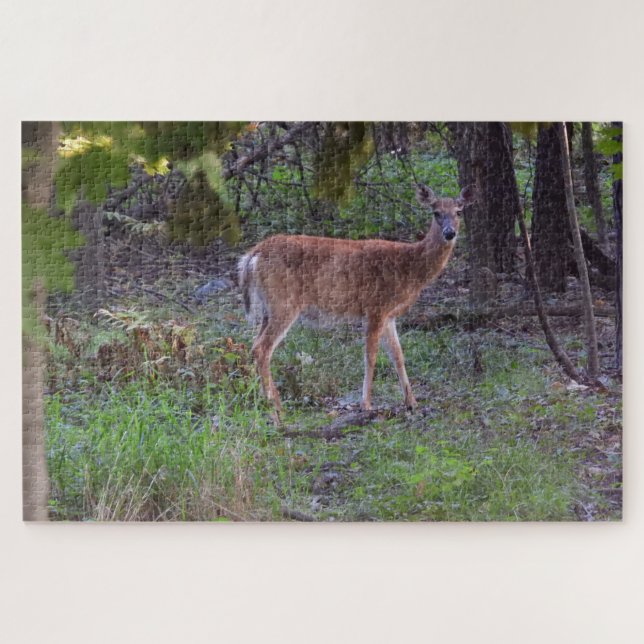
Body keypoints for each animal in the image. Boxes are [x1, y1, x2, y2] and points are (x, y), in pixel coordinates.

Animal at [238, 184, 476, 423]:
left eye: (459, 212)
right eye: (436, 213)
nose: (449, 233)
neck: (409, 268)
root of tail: (252, 255)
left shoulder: (390, 315)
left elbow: (398, 356)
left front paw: (412, 403)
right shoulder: (376, 307)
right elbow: (370, 357)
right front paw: (366, 405)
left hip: (269, 307)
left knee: (255, 344)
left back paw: (270, 403)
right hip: (284, 303)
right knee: (262, 348)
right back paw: (275, 409)